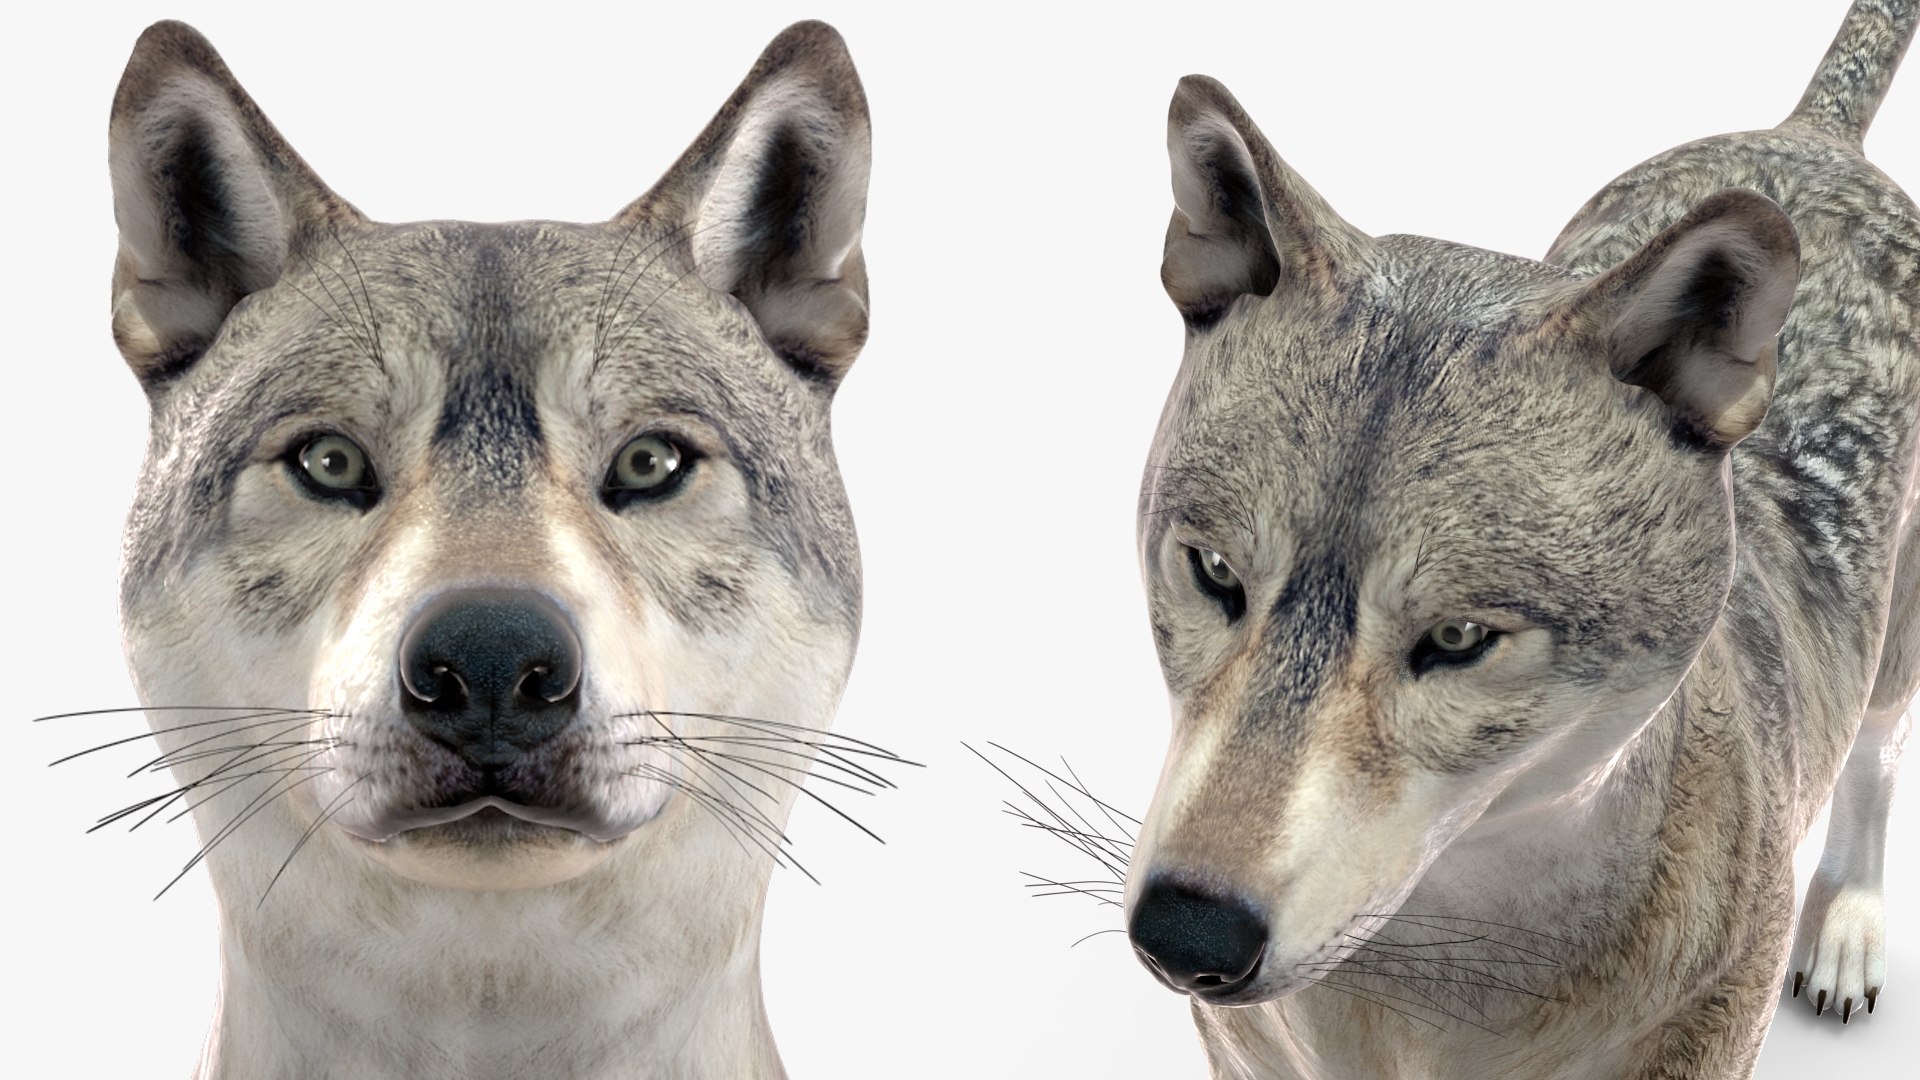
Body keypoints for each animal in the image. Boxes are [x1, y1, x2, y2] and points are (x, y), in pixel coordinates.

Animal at [1123, 1, 1919, 1076]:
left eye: (1459, 639)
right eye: (1213, 573)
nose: (1186, 935)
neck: (1436, 993)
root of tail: (1809, 136)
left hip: (1895, 636)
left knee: (1877, 751)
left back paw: (1845, 927)